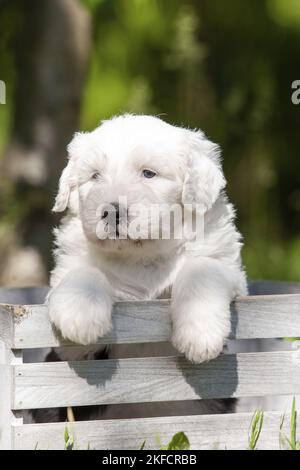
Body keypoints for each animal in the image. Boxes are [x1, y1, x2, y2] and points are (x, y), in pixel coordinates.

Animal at [48, 114, 247, 364]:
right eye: (95, 175)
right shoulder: (69, 351)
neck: (142, 255)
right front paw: (79, 313)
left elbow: (201, 269)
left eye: (149, 173)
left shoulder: (226, 264)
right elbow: (85, 271)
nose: (111, 212)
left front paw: (201, 336)